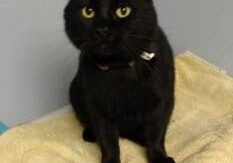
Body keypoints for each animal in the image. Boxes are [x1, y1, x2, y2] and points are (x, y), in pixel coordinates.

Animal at [63, 0, 175, 163]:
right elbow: (107, 140)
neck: (119, 67)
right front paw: (110, 160)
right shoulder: (99, 107)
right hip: (75, 91)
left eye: (123, 11)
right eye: (88, 11)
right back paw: (90, 134)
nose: (102, 30)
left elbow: (156, 134)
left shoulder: (161, 101)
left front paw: (159, 157)